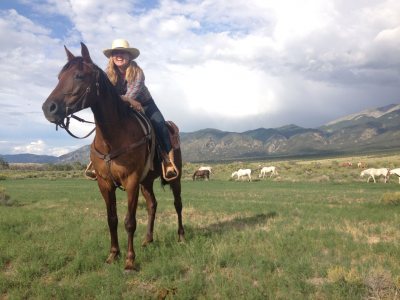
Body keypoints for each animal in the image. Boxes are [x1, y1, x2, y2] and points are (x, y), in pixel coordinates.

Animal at [41, 42, 185, 272]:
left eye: (79, 75)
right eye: (59, 77)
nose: (49, 108)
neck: (114, 136)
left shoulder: (131, 180)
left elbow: (129, 221)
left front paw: (129, 261)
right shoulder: (105, 182)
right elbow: (112, 219)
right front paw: (113, 255)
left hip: (175, 178)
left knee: (178, 204)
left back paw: (181, 237)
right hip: (146, 181)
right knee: (152, 205)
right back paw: (148, 239)